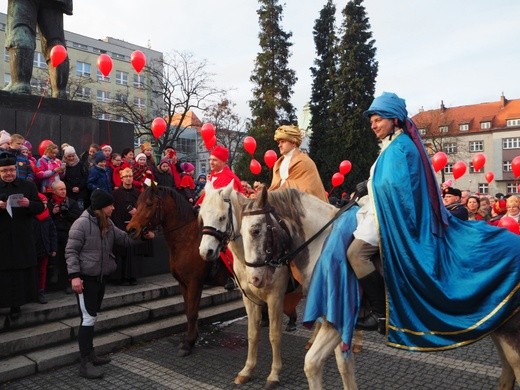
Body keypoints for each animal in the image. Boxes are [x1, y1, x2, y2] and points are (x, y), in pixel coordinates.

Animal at [126, 186, 230, 356]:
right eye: (137, 204)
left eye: (149, 204)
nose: (131, 230)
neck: (187, 239)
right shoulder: (183, 283)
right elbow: (188, 311)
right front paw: (191, 338)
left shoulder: (195, 283)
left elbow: (193, 312)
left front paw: (189, 343)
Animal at [198, 181, 290, 388]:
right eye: (202, 216)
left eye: (222, 217)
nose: (205, 251)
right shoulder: (249, 299)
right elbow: (252, 334)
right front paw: (247, 370)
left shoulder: (275, 298)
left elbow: (274, 335)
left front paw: (274, 374)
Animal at [241, 186, 520, 390]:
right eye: (239, 233)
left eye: (255, 230)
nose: (254, 279)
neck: (323, 243)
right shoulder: (339, 320)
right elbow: (344, 366)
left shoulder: (335, 321)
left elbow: (311, 364)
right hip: (496, 326)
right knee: (507, 372)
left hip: (510, 331)